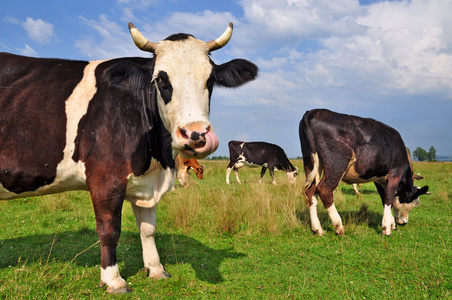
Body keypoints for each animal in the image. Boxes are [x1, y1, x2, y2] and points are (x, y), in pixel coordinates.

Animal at [0, 22, 258, 294]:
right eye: (161, 80)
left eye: (210, 80)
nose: (195, 134)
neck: (158, 159)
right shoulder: (105, 179)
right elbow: (109, 230)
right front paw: (113, 280)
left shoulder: (147, 181)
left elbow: (148, 228)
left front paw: (156, 269)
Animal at [298, 108, 430, 237]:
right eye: (412, 203)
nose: (404, 222)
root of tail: (312, 112)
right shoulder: (395, 175)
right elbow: (388, 199)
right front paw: (387, 228)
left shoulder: (379, 179)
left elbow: (386, 199)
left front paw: (392, 224)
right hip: (336, 164)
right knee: (324, 190)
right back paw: (338, 226)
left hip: (310, 162)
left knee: (311, 191)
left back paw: (317, 229)